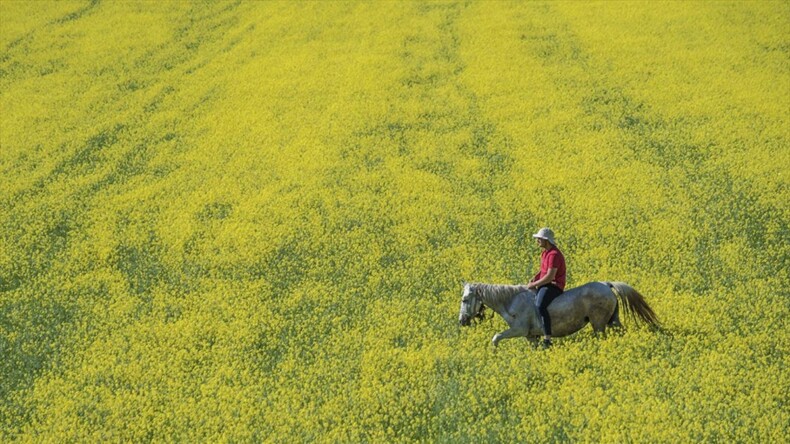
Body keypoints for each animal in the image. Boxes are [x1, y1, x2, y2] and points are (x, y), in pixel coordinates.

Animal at [460, 282, 660, 348]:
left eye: (464, 299)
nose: (462, 321)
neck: (511, 302)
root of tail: (606, 284)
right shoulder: (530, 336)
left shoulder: (519, 330)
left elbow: (496, 337)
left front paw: (494, 353)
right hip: (613, 321)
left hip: (599, 324)